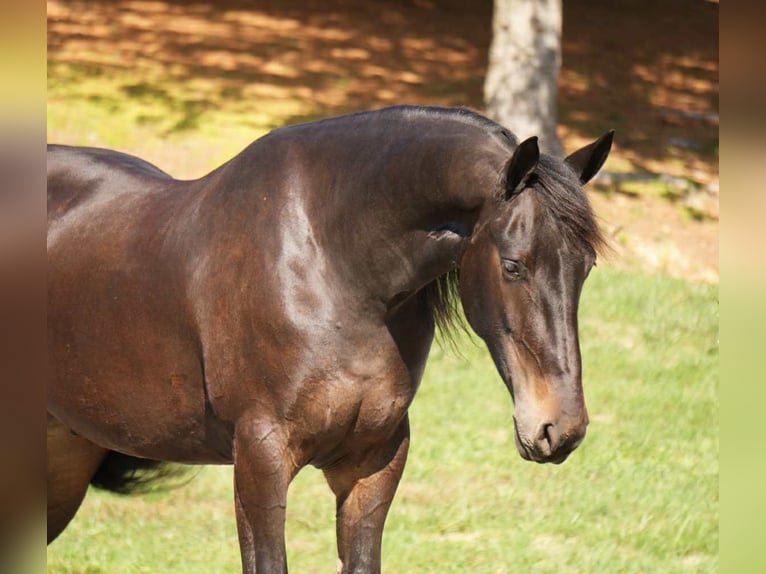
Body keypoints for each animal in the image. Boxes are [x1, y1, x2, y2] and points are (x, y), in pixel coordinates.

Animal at [47, 105, 612, 573]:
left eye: (586, 267)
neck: (330, 262)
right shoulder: (260, 460)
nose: (559, 429)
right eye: (514, 265)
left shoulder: (373, 462)